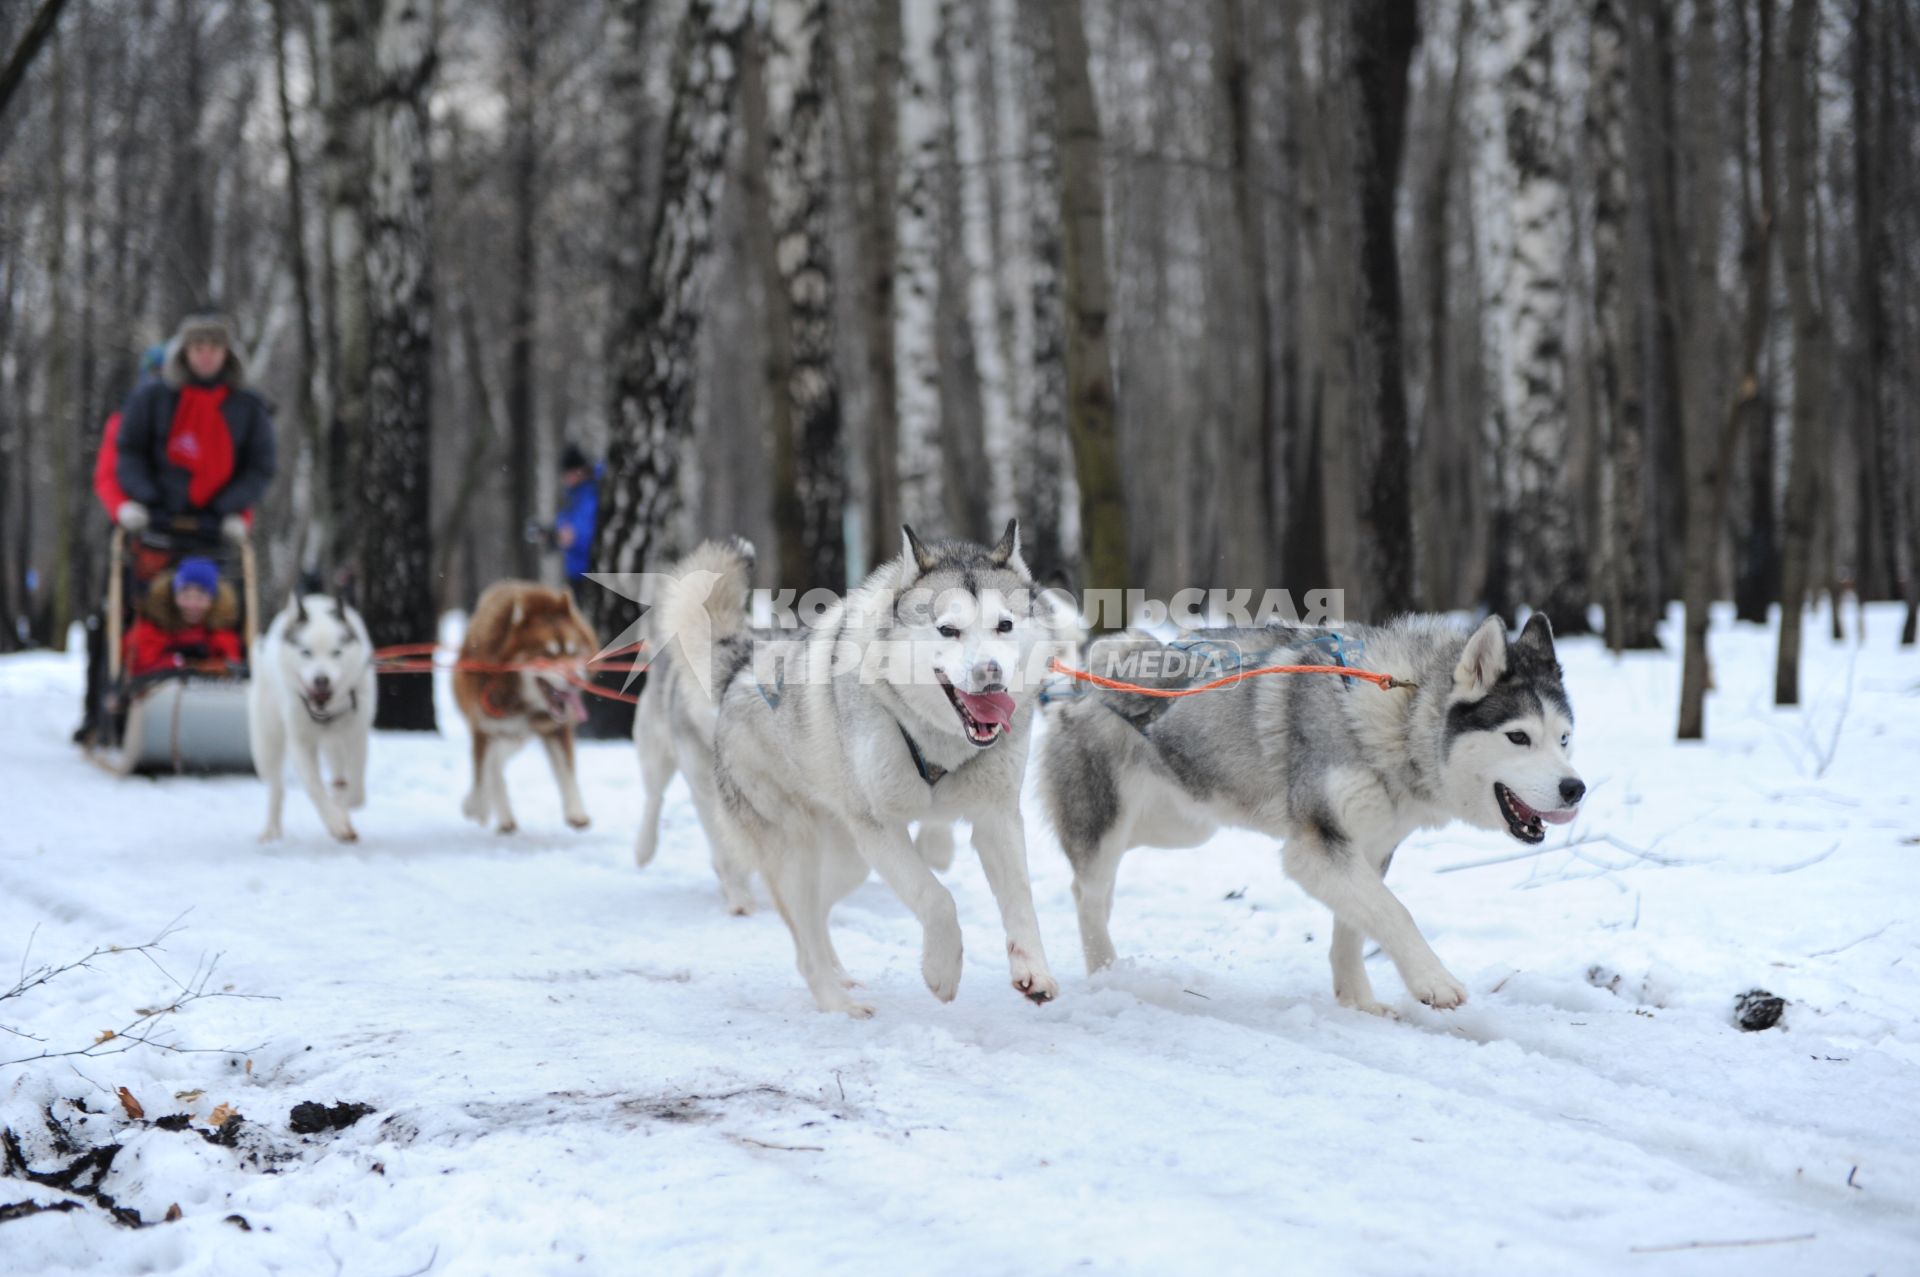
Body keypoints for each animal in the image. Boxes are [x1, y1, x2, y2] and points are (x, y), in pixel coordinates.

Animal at [453, 579, 595, 837]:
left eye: (572, 652)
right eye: (547, 654)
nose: (576, 680)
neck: (520, 701)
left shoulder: (555, 727)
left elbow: (566, 770)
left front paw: (577, 813)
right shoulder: (484, 726)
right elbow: (483, 770)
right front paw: (479, 806)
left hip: (517, 736)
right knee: (492, 767)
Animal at [706, 522, 1075, 1013]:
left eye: (1005, 625)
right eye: (948, 630)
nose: (990, 671)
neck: (939, 742)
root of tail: (739, 672)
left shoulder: (997, 818)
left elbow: (1020, 900)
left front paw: (1032, 969)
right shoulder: (879, 827)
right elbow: (936, 898)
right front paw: (942, 971)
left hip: (848, 861)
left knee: (817, 918)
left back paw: (841, 979)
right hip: (799, 853)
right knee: (806, 937)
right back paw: (838, 1005)